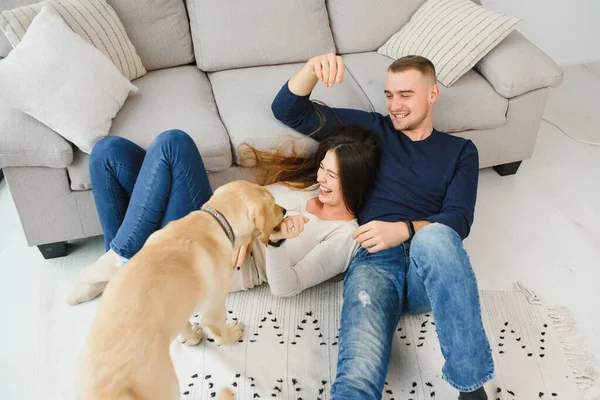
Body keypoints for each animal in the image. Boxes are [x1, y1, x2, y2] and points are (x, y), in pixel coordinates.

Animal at [74, 182, 286, 400]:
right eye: (273, 203)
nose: (285, 210)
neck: (218, 220)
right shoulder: (214, 306)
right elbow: (220, 331)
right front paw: (232, 335)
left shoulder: (178, 306)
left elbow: (183, 324)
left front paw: (191, 337)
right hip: (165, 386)